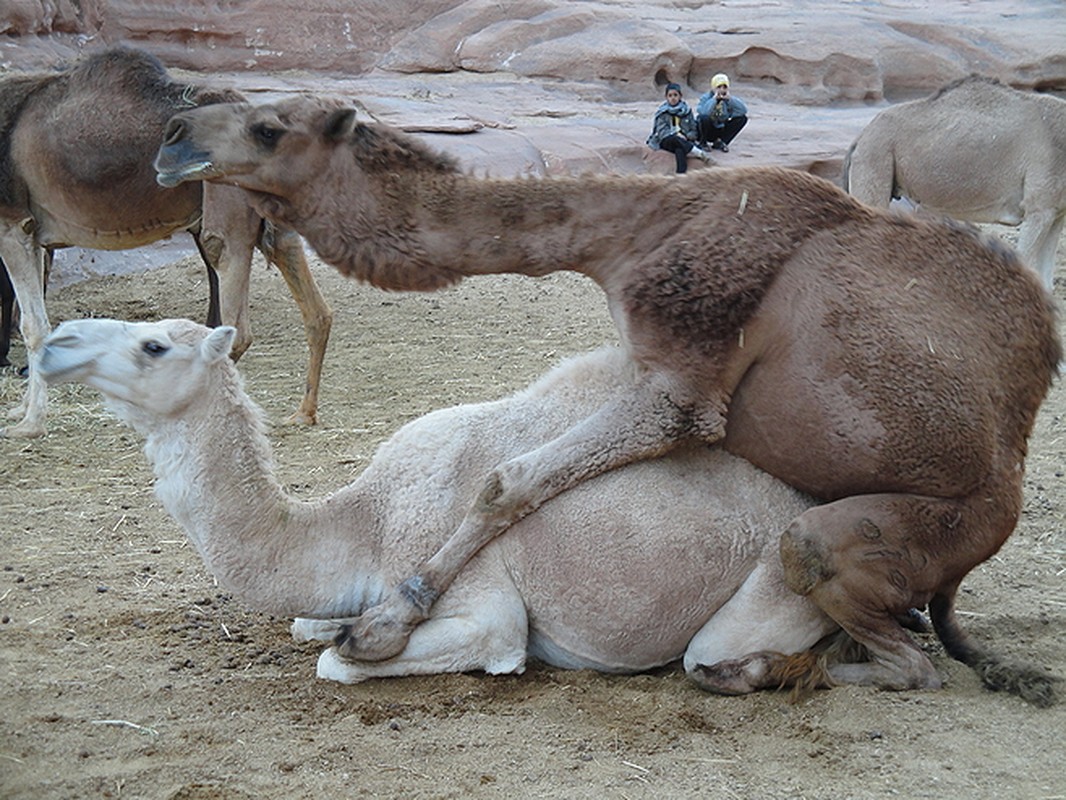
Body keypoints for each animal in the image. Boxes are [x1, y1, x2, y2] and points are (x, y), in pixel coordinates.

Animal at [0, 45, 332, 439]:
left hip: (226, 208)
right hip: (276, 214)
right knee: (316, 309)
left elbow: (34, 327)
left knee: (235, 317)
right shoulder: (34, 232)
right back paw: (304, 413)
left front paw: (30, 423)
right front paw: (20, 411)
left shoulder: (12, 222)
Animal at [154, 97, 1061, 704]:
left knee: (842, 589)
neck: (629, 240)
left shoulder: (683, 386)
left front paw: (382, 625)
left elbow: (507, 479)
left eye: (269, 127)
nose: (170, 140)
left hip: (943, 520)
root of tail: (1011, 464)